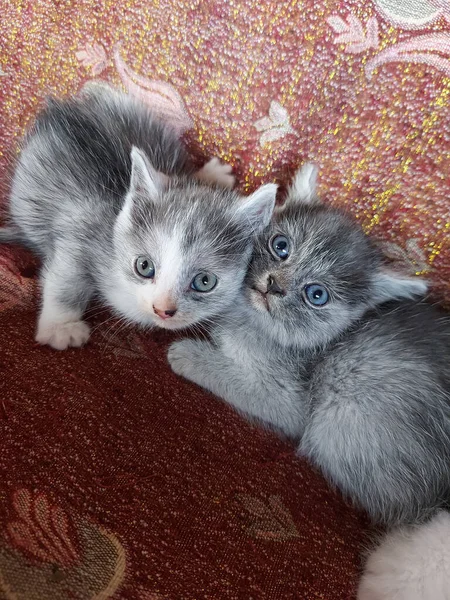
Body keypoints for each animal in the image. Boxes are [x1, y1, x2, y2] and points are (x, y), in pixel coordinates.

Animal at [0, 82, 276, 350]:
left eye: (204, 281)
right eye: (144, 266)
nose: (163, 310)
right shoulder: (80, 228)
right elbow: (66, 277)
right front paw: (61, 327)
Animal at [168, 163, 450, 524]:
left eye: (316, 295)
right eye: (281, 246)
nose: (274, 285)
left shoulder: (286, 398)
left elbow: (235, 379)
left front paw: (187, 353)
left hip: (340, 413)